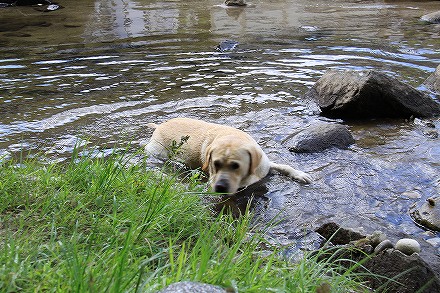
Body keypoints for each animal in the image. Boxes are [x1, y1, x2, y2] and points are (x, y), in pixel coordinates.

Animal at [145, 116, 312, 194]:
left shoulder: (265, 165)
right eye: (215, 164)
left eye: (235, 166)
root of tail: (159, 126)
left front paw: (300, 174)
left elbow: (285, 166)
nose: (219, 187)